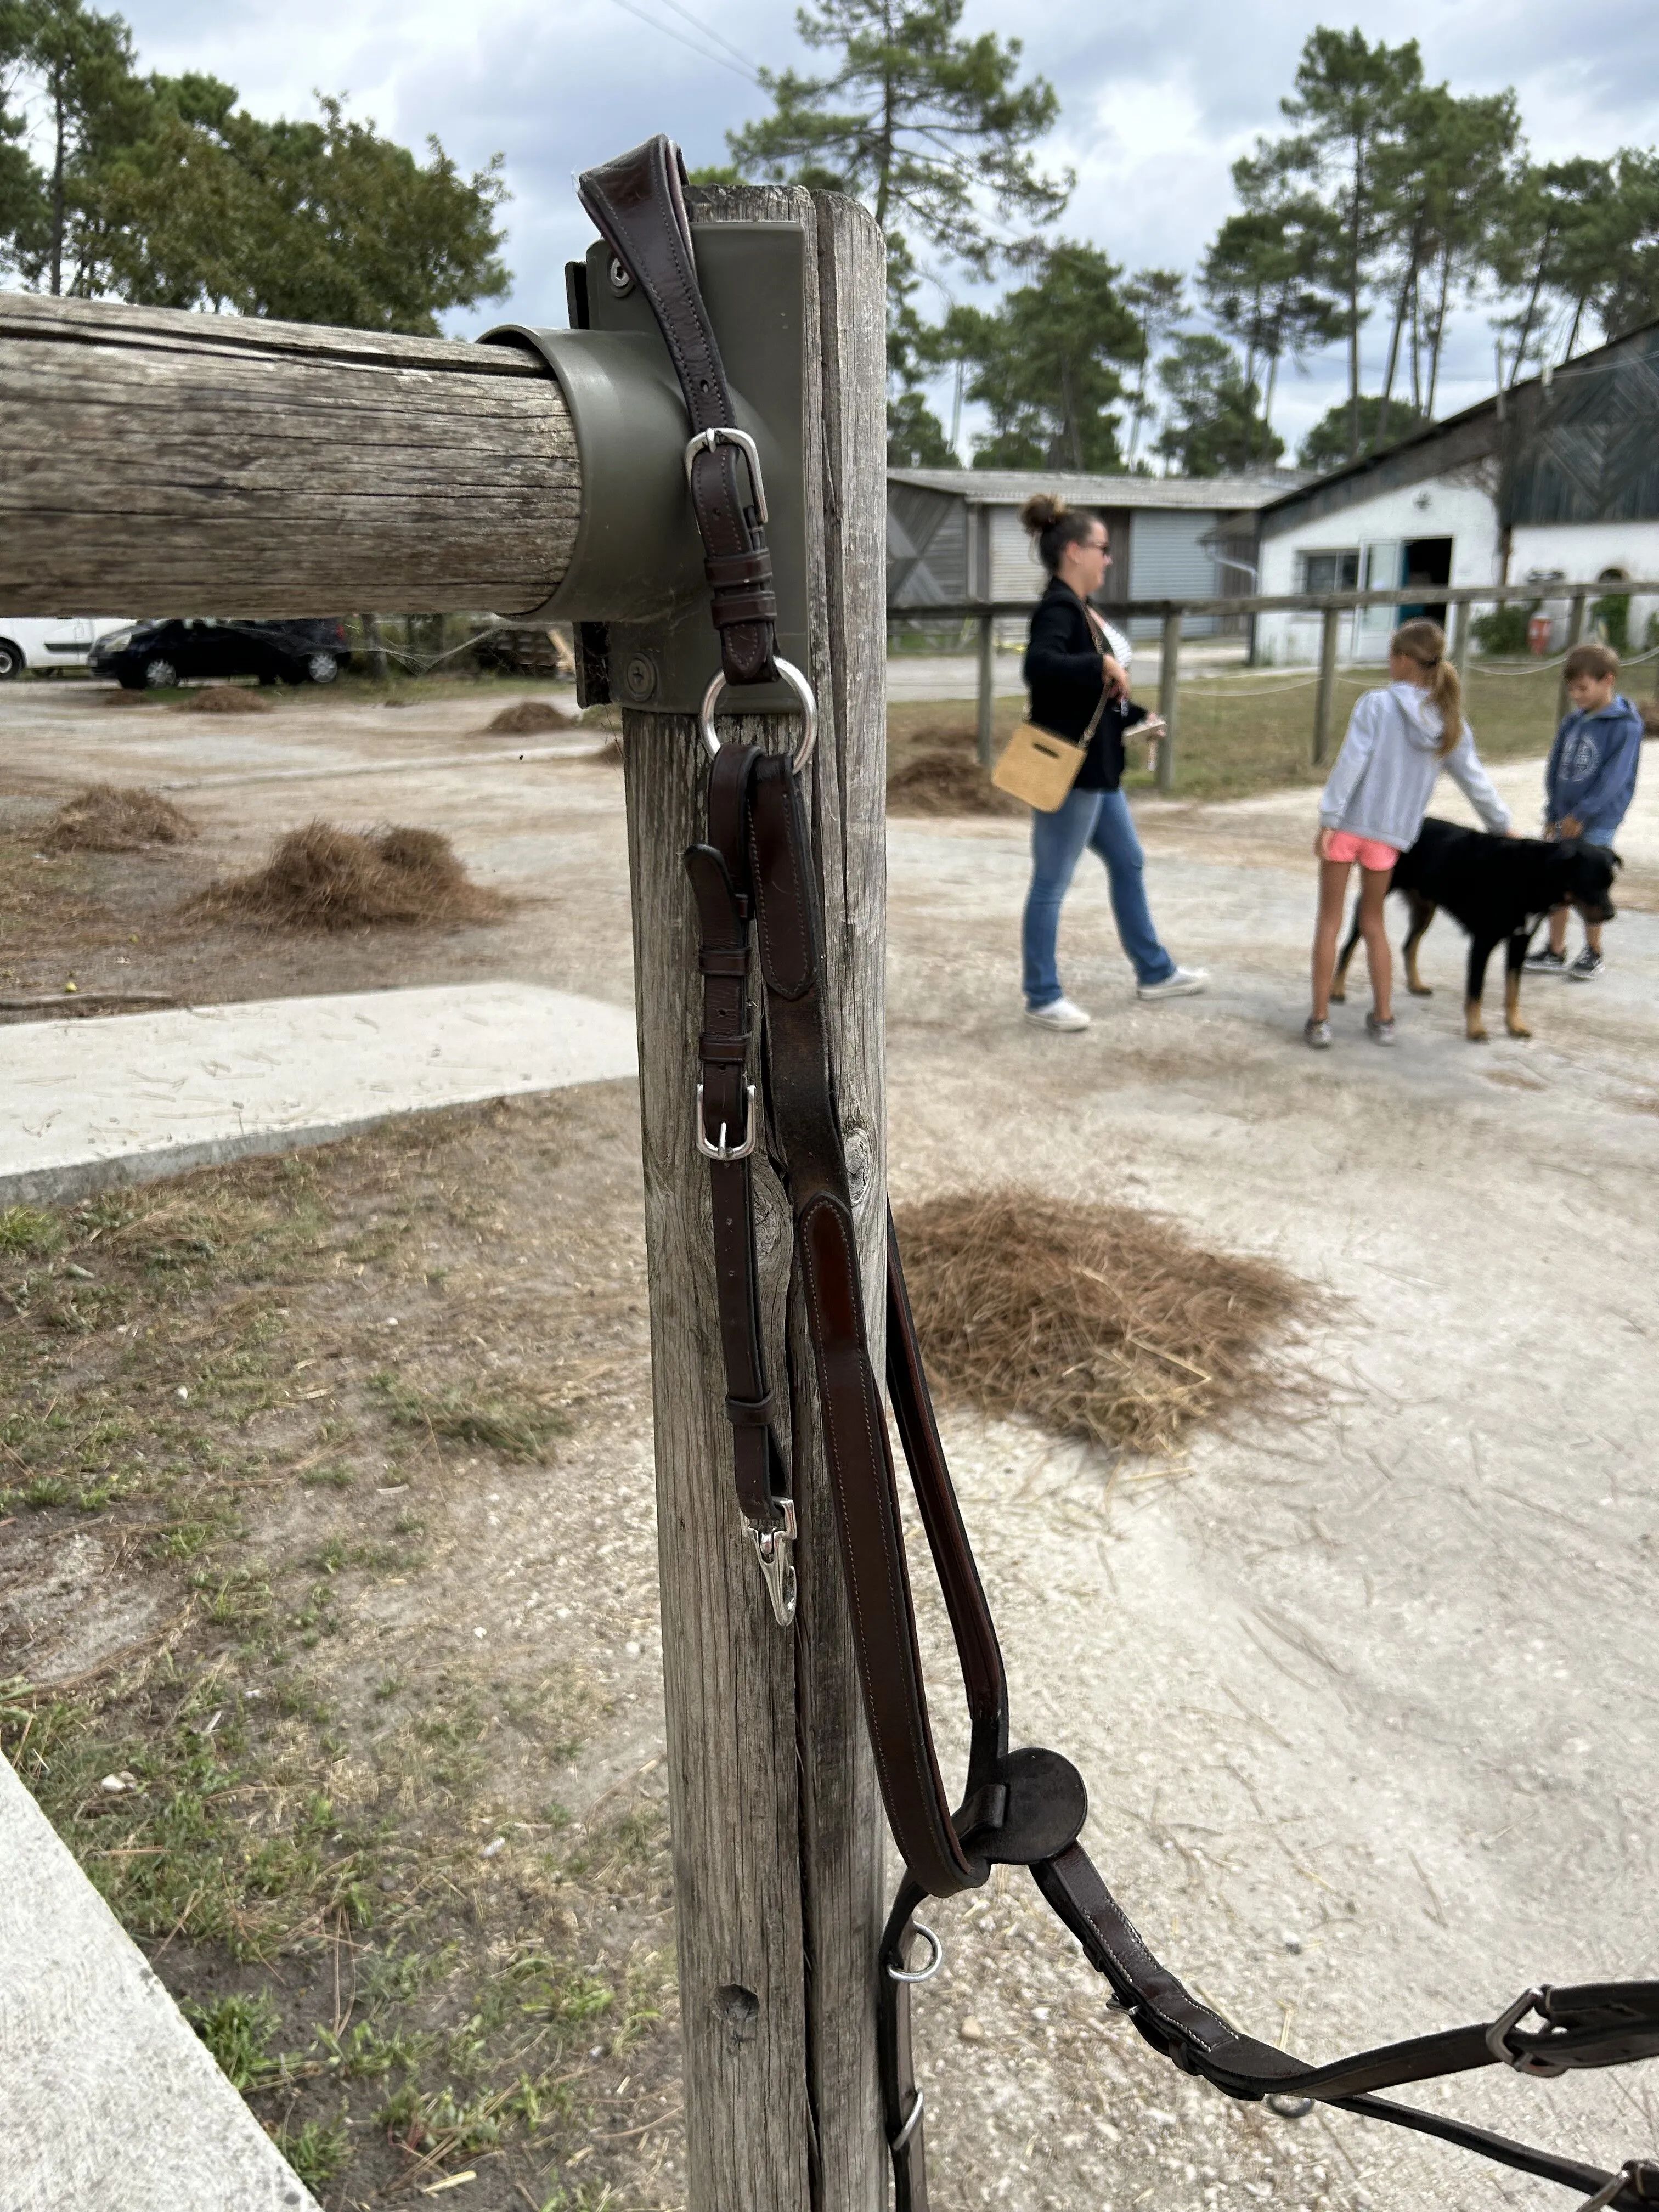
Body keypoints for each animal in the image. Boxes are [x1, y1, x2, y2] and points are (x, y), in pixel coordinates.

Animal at [1336, 822, 1628, 1044]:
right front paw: (1475, 1029)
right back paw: (1337, 989)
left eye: (1611, 882)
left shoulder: (1520, 942)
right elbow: (1476, 992)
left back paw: (1416, 984)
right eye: (1589, 883)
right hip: (1374, 900)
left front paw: (1515, 1025)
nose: (1611, 915)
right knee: (1349, 945)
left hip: (1425, 909)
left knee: (1409, 945)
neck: (1531, 874)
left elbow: (1513, 992)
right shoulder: (1483, 943)